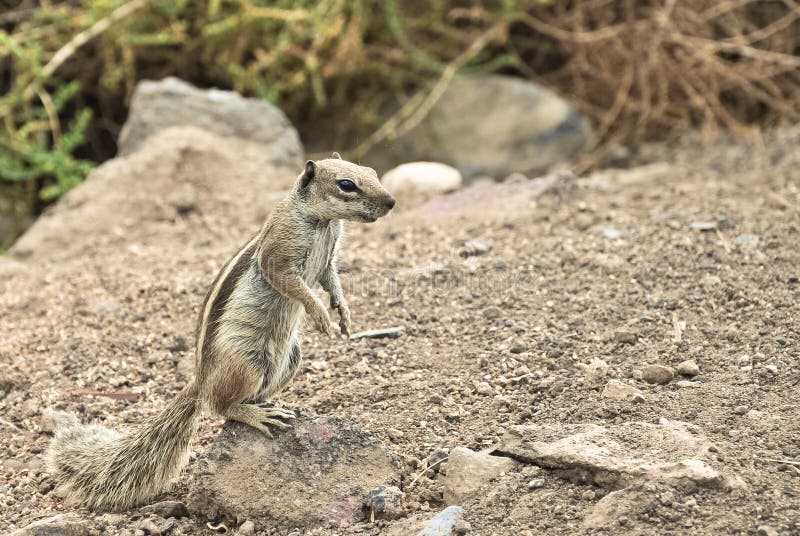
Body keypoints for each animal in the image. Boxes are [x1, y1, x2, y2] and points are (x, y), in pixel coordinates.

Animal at [45, 152, 396, 510]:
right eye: (346, 184)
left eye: (371, 172)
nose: (391, 202)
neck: (322, 222)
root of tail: (200, 381)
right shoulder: (279, 253)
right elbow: (291, 283)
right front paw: (321, 314)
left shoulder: (328, 258)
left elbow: (330, 279)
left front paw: (343, 312)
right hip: (245, 363)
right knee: (221, 407)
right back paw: (255, 414)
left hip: (291, 359)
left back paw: (271, 405)